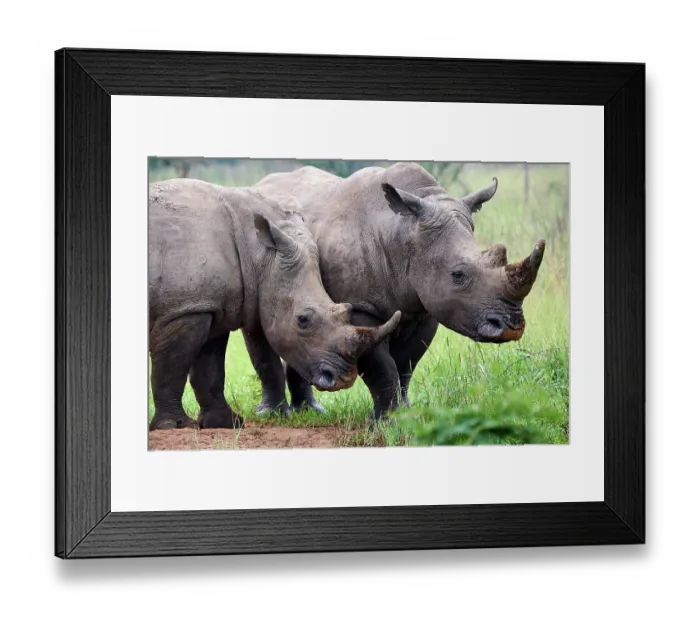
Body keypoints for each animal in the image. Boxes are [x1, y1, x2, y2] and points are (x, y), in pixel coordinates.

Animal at [148, 178, 401, 430]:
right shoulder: (183, 309)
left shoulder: (211, 306)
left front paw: (225, 423)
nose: (342, 379)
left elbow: (210, 369)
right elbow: (172, 367)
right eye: (303, 320)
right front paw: (175, 426)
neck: (257, 254)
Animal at [252, 163, 545, 420]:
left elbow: (406, 363)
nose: (511, 327)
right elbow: (382, 365)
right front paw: (386, 421)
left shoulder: (424, 306)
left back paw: (311, 411)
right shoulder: (358, 307)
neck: (404, 235)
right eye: (458, 275)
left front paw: (406, 413)